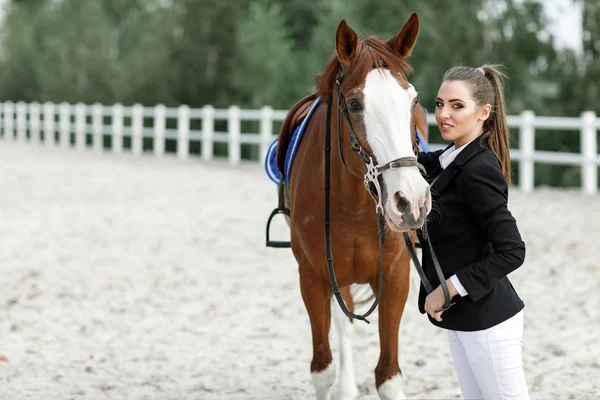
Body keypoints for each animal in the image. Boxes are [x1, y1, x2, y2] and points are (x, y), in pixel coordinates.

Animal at [274, 12, 434, 400]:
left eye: (413, 100)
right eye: (354, 104)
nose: (411, 200)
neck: (356, 208)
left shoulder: (395, 278)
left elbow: (388, 376)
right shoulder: (313, 278)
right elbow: (322, 369)